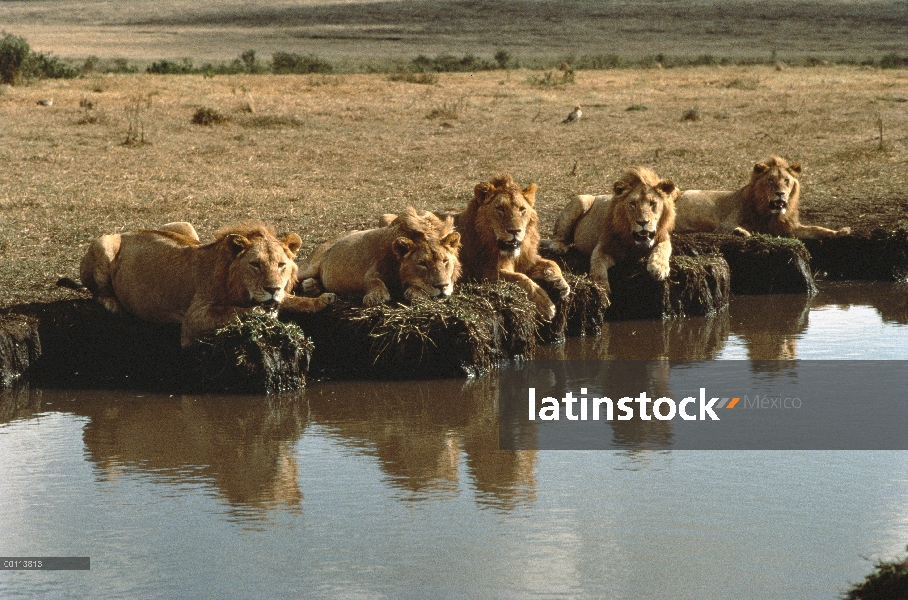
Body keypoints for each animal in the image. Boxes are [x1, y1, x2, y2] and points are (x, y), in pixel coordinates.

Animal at [80, 221, 336, 346]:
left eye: (281, 265)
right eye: (255, 265)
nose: (272, 289)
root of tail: (128, 231)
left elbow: (291, 299)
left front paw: (322, 299)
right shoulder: (194, 319)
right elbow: (234, 311)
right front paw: (262, 312)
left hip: (185, 227)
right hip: (104, 242)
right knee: (98, 291)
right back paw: (112, 304)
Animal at [300, 209, 462, 308]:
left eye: (445, 261)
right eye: (422, 264)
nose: (442, 286)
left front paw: (415, 291)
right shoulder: (374, 268)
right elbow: (373, 281)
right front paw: (376, 296)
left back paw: (311, 286)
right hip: (310, 265)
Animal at [458, 173, 572, 318]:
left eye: (522, 209)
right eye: (500, 208)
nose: (515, 231)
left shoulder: (527, 261)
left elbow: (551, 263)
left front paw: (560, 284)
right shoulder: (483, 271)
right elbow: (520, 277)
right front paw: (544, 302)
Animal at [544, 165, 676, 296]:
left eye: (652, 203)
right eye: (632, 204)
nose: (643, 222)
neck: (633, 241)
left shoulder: (663, 237)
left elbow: (663, 248)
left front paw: (658, 268)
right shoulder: (603, 248)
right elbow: (598, 271)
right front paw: (603, 292)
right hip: (581, 200)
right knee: (557, 236)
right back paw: (559, 247)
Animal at [672, 155, 852, 239]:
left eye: (786, 181)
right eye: (770, 180)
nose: (781, 193)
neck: (770, 212)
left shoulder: (790, 227)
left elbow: (817, 229)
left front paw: (841, 231)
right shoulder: (724, 225)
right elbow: (750, 228)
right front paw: (741, 231)